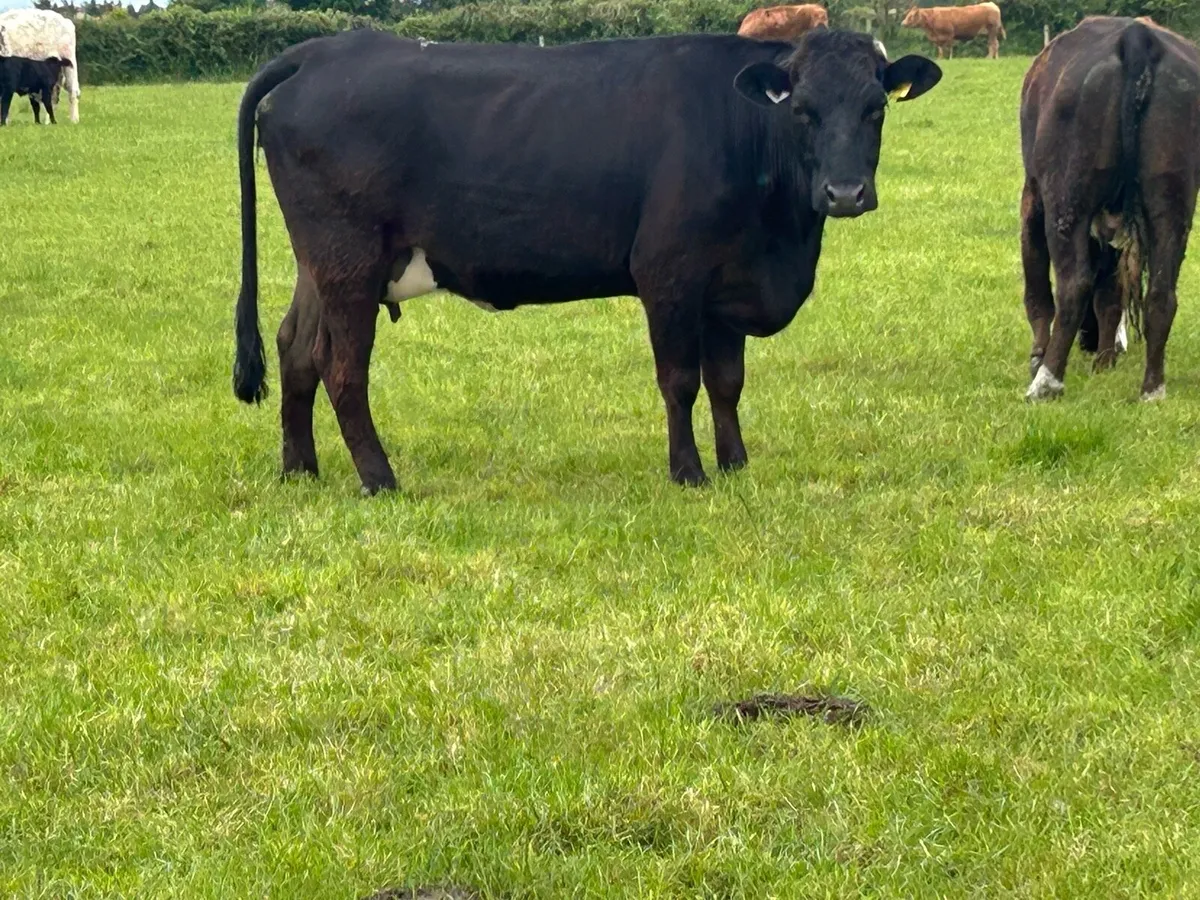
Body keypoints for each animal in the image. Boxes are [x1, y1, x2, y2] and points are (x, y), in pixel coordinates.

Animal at [232, 30, 941, 494]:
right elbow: (680, 380)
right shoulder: (669, 275)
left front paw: (736, 464)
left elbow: (727, 382)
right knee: (341, 368)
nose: (845, 193)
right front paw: (689, 474)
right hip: (348, 261)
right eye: (803, 110)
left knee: (295, 349)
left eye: (875, 108)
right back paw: (380, 479)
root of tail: (323, 50)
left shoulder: (725, 287)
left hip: (320, 265)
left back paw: (301, 470)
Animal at [1021, 17, 1199, 403]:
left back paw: (1046, 382)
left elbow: (1038, 289)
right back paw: (1152, 388)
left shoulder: (1032, 197)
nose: (1087, 345)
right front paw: (1104, 361)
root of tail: (1136, 36)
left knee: (1073, 286)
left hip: (1066, 200)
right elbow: (1109, 295)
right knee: (1161, 294)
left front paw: (1039, 357)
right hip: (1171, 196)